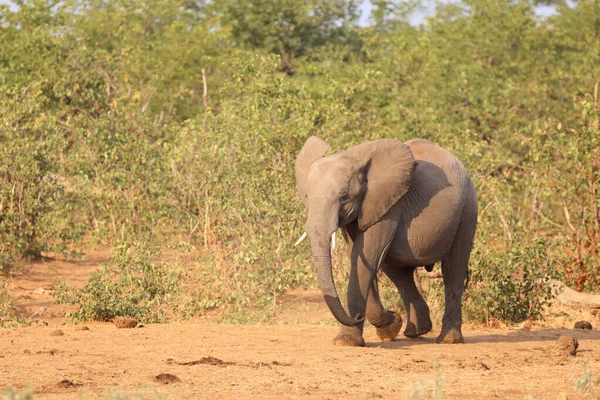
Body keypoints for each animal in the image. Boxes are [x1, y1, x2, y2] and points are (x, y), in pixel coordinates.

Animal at [296, 136, 478, 346]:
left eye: (343, 197)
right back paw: (415, 331)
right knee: (399, 273)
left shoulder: (388, 205)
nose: (356, 317)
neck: (355, 159)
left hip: (467, 209)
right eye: (307, 196)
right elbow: (360, 259)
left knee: (453, 269)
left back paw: (448, 340)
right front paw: (390, 327)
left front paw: (347, 341)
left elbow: (365, 259)